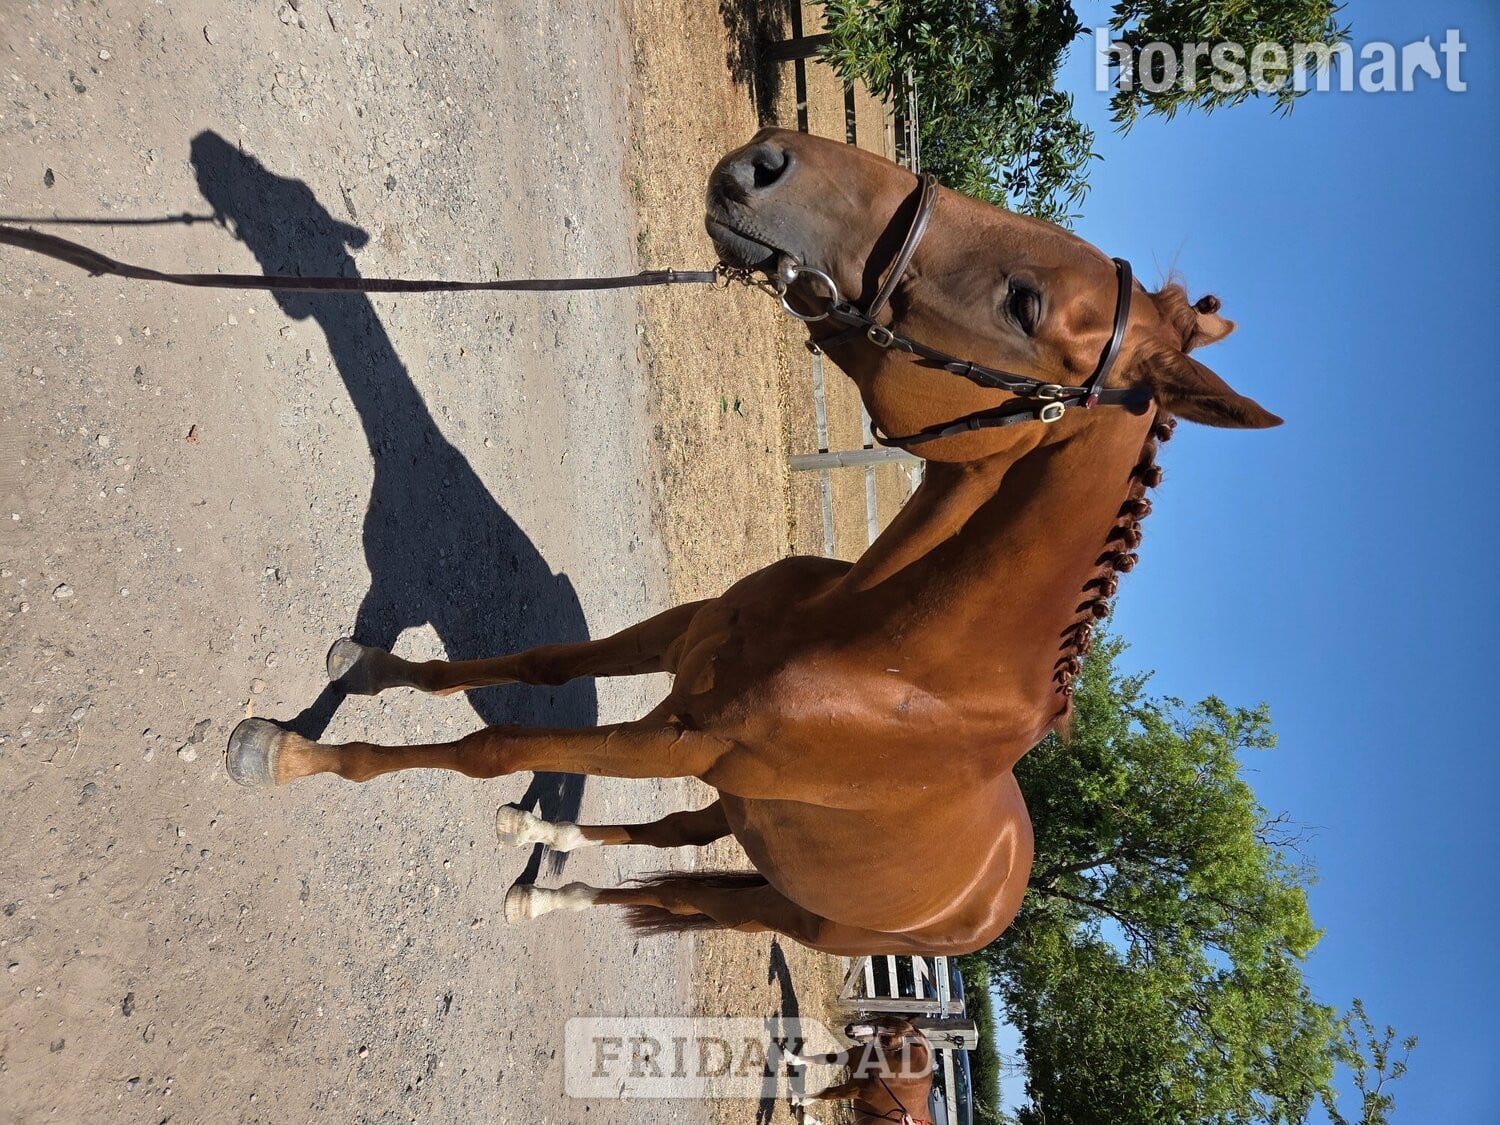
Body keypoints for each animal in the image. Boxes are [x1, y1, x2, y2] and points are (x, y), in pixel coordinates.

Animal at [226, 127, 1279, 956]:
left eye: (1024, 304)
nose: (767, 161)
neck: (882, 657)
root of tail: (994, 899)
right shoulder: (684, 642)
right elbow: (541, 659)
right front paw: (367, 665)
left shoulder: (688, 736)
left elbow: (493, 742)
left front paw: (288, 754)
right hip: (734, 806)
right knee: (669, 841)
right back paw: (544, 846)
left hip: (787, 906)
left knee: (690, 894)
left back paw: (546, 888)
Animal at [786, 1016, 934, 1125]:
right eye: (885, 1018)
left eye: (887, 1041)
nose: (851, 1030)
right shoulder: (852, 1056)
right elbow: (823, 1058)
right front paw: (790, 1057)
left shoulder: (855, 1090)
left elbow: (826, 1093)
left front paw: (798, 1099)